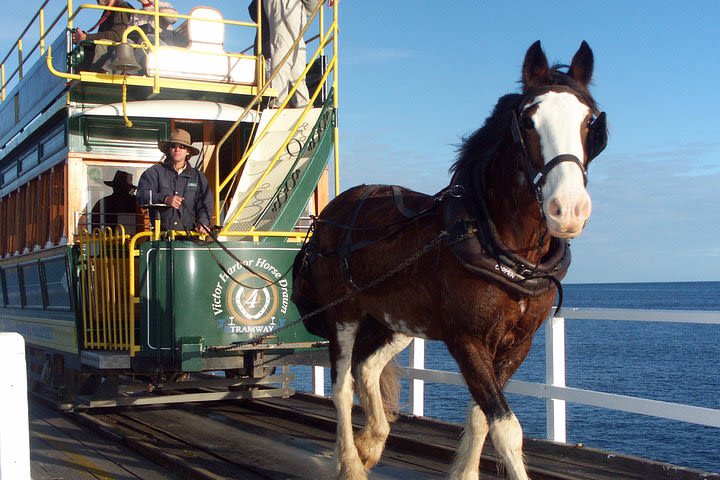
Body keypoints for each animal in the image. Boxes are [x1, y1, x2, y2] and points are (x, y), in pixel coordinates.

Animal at [292, 42, 608, 480]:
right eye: (529, 121)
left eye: (590, 122)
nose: (569, 209)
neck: (499, 242)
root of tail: (328, 215)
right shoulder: (467, 340)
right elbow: (506, 428)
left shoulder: (518, 344)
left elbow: (481, 417)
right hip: (344, 316)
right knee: (341, 386)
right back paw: (351, 464)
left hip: (397, 320)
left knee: (367, 368)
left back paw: (372, 441)